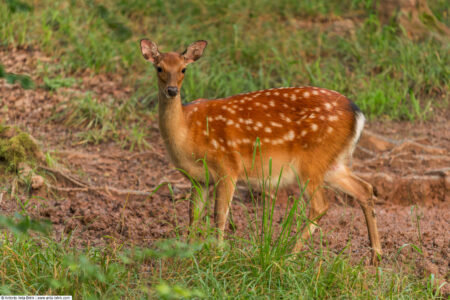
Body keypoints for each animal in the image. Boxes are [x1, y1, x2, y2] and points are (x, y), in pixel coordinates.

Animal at [141, 39, 384, 262]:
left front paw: (217, 254)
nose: (172, 90)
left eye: (184, 69)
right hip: (332, 163)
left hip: (312, 161)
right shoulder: (198, 178)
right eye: (159, 67)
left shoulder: (228, 166)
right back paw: (376, 256)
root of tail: (357, 113)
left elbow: (220, 214)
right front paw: (188, 254)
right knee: (365, 189)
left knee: (321, 205)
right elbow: (194, 215)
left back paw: (289, 255)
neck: (188, 133)